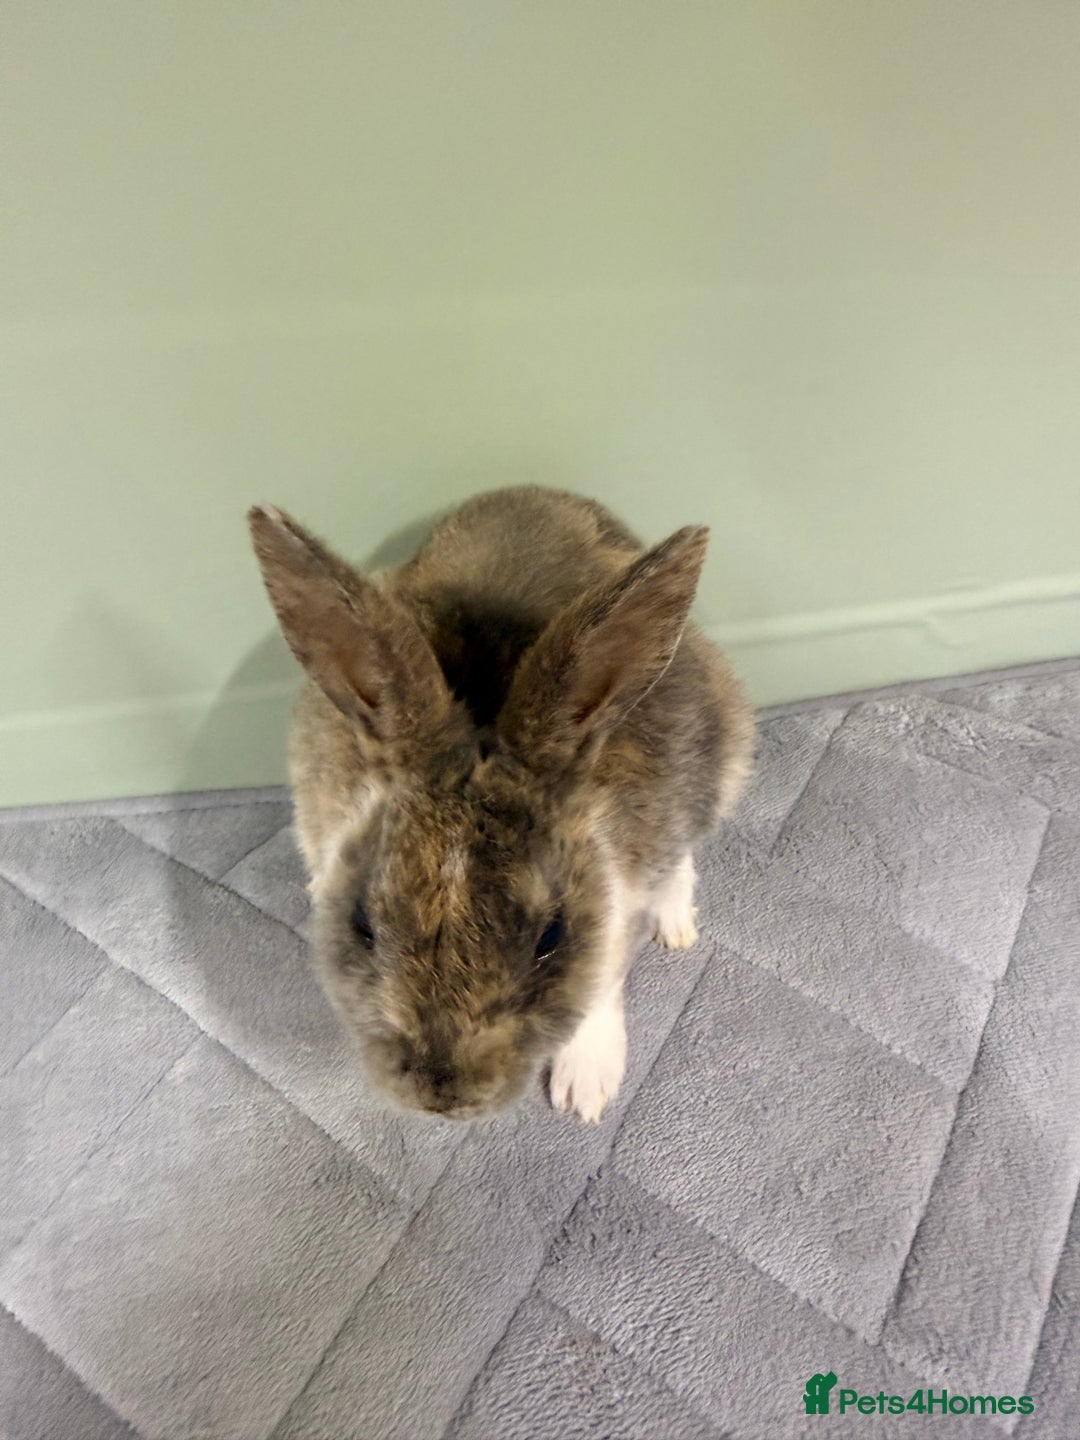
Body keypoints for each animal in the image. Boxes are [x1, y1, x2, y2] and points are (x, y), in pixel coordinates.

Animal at [248, 486, 754, 1124]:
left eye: (550, 939)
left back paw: (677, 927)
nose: (444, 1096)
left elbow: (601, 989)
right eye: (362, 925)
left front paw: (584, 1092)